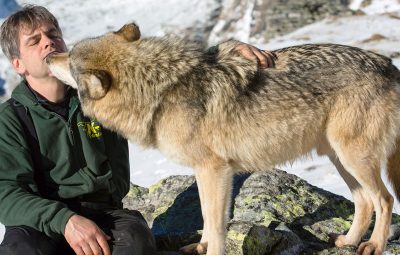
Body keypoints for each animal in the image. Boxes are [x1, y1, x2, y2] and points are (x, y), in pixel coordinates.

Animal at [45, 22, 400, 255]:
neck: (161, 90)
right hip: (340, 159)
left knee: (384, 199)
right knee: (364, 201)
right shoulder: (208, 173)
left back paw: (373, 245)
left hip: (354, 158)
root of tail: (389, 66)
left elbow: (216, 224)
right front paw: (200, 246)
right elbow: (206, 215)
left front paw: (212, 249)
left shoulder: (214, 169)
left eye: (69, 59)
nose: (48, 57)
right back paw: (349, 242)